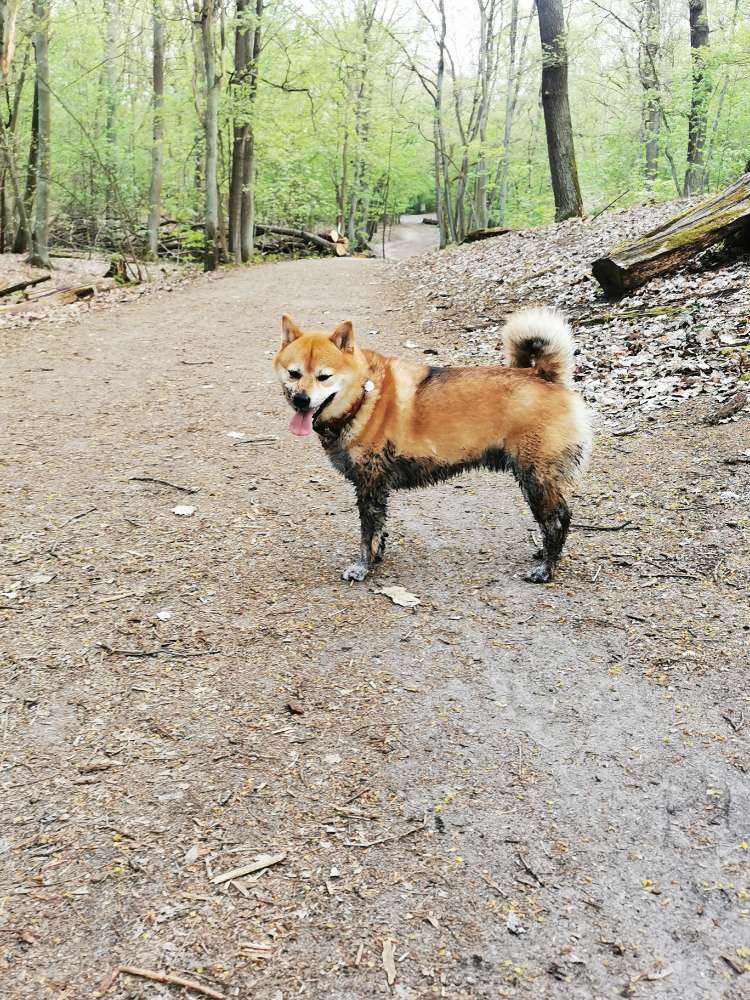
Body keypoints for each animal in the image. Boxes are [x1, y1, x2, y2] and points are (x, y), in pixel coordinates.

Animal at [274, 308, 592, 584]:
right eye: (294, 373)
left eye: (323, 376)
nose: (301, 400)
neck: (364, 398)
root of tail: (543, 376)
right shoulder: (375, 490)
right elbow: (380, 529)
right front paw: (377, 557)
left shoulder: (370, 486)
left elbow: (368, 533)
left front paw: (363, 566)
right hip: (531, 481)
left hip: (536, 478)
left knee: (558, 520)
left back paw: (547, 568)